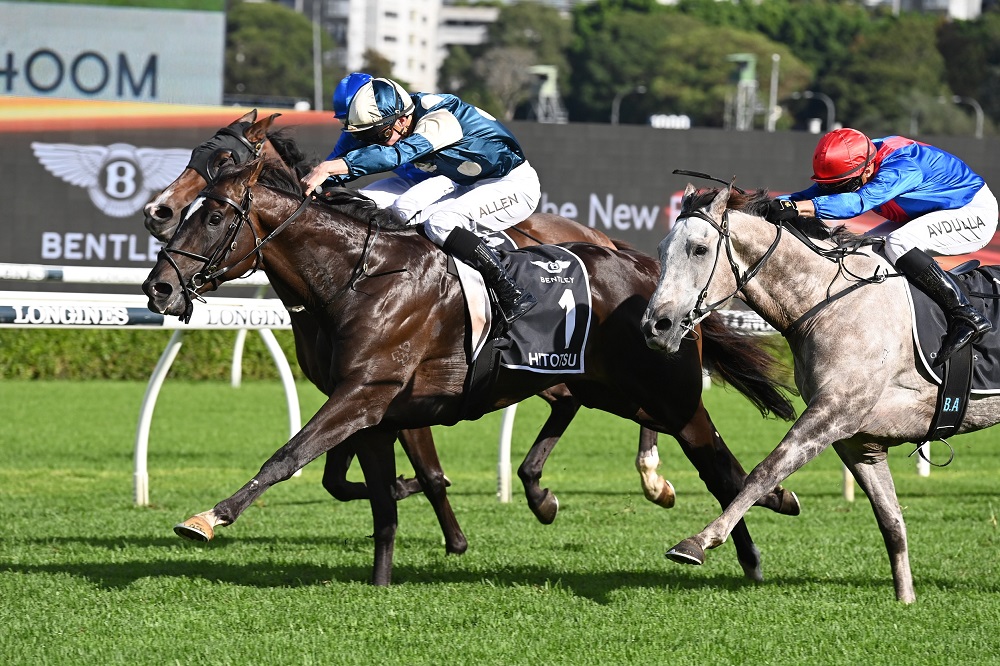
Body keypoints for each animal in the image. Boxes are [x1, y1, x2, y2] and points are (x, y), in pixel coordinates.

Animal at [143, 109, 796, 556]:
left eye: (216, 207)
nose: (160, 285)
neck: (358, 273)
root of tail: (633, 259)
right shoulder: (379, 396)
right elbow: (358, 474)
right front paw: (427, 511)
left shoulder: (369, 390)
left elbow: (293, 454)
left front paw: (210, 516)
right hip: (589, 379)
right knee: (587, 408)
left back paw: (662, 483)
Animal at [640, 183, 1000, 600]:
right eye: (662, 249)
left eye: (699, 248)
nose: (656, 326)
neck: (827, 301)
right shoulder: (858, 440)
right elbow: (891, 520)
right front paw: (906, 600)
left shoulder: (833, 412)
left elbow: (766, 470)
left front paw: (698, 541)